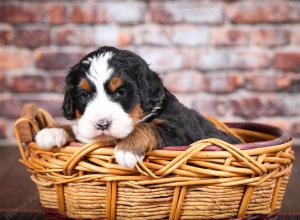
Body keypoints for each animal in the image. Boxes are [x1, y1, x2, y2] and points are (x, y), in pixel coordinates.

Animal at [35, 46, 241, 167]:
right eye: (84, 94)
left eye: (121, 92)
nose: (102, 124)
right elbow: (75, 128)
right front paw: (51, 131)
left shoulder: (184, 135)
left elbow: (147, 127)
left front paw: (127, 149)